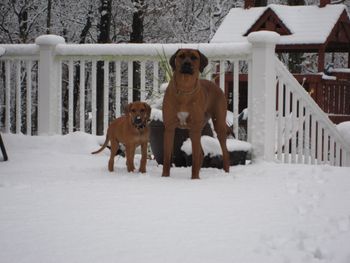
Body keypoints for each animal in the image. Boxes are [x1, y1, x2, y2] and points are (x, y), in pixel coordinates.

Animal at [163, 48, 231, 180]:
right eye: (181, 56)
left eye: (194, 57)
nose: (187, 64)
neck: (185, 89)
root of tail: (216, 86)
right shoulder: (169, 126)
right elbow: (167, 156)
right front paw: (164, 177)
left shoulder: (194, 127)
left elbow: (194, 157)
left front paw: (194, 179)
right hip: (199, 127)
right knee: (201, 152)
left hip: (217, 123)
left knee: (224, 152)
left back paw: (226, 172)